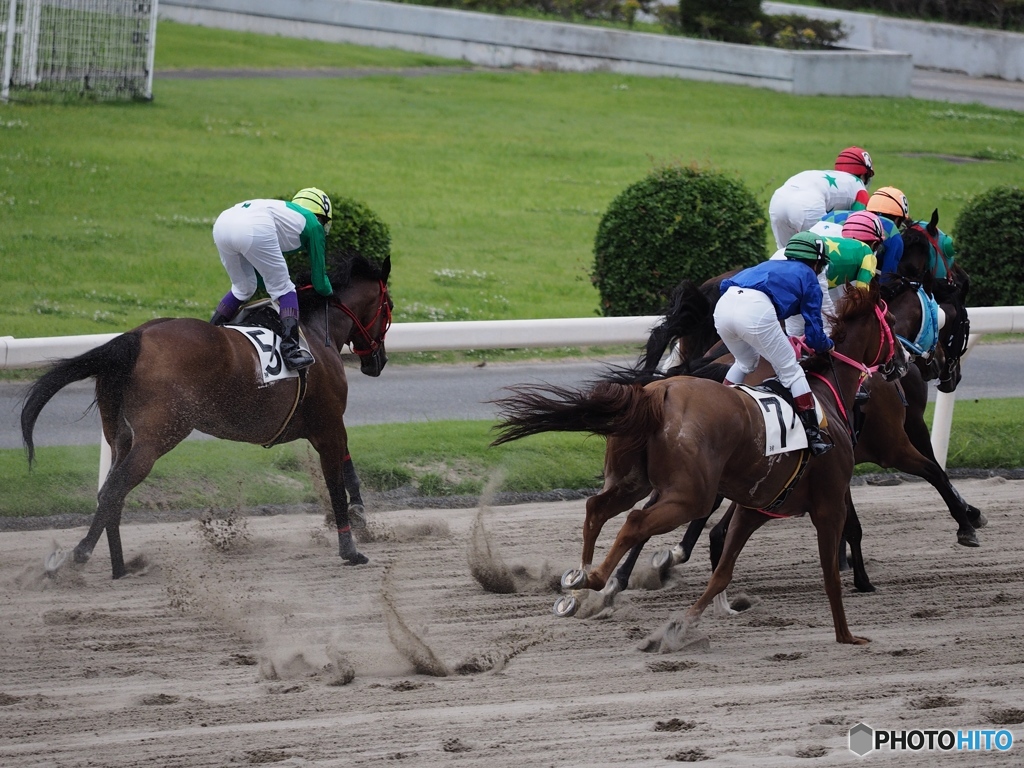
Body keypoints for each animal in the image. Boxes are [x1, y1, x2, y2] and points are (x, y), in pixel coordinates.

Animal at [24, 256, 393, 581]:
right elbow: (337, 482)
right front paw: (350, 548)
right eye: (389, 305)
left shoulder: (326, 425)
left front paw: (360, 515)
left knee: (111, 491)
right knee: (114, 490)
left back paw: (119, 567)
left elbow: (347, 468)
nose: (378, 361)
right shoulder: (328, 424)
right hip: (158, 437)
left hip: (120, 436)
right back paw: (80, 554)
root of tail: (136, 338)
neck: (315, 334)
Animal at [493, 282, 905, 651]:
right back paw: (595, 578)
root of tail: (658, 392)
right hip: (690, 495)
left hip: (635, 479)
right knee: (635, 521)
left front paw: (680, 627)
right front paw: (847, 635)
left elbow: (722, 571)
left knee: (598, 508)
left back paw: (579, 580)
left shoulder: (756, 507)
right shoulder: (829, 505)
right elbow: (830, 572)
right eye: (891, 324)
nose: (901, 362)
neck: (825, 399)